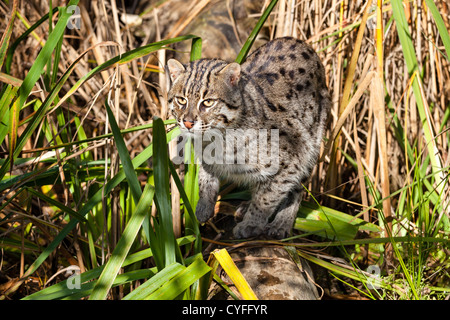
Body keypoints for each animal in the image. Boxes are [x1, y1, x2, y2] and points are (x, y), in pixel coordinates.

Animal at [165, 37, 330, 238]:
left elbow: (267, 197)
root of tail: (301, 42)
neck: (217, 136)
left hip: (312, 141)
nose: (188, 122)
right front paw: (204, 205)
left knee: (296, 189)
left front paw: (252, 223)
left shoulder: (293, 158)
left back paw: (280, 224)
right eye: (181, 100)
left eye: (208, 102)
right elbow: (206, 177)